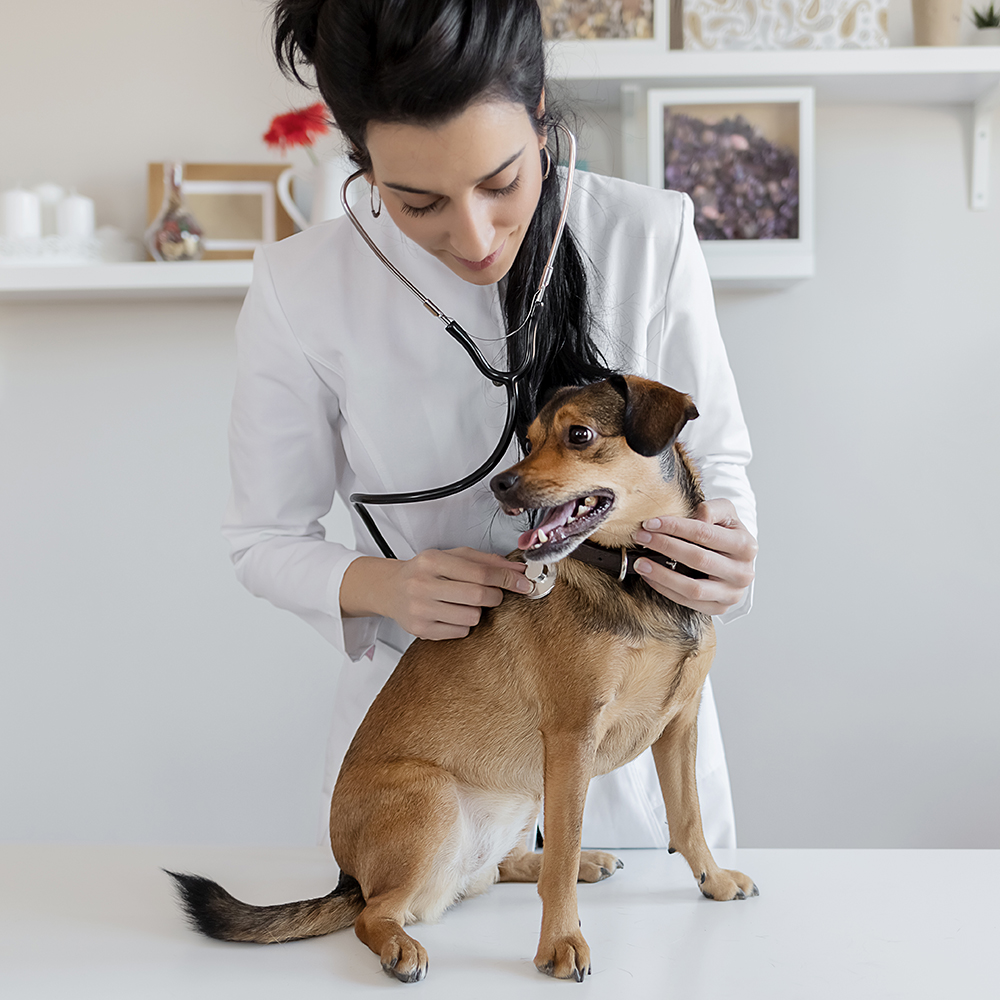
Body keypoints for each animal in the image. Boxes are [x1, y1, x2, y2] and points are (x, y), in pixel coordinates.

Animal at [168, 376, 752, 984]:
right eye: (528, 440)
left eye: (579, 435)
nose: (500, 484)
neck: (635, 577)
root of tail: (351, 879)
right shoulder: (573, 738)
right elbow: (563, 854)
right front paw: (562, 940)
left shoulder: (678, 726)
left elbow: (687, 817)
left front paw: (714, 880)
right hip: (434, 796)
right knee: (375, 914)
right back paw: (400, 945)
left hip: (528, 789)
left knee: (506, 866)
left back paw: (584, 861)